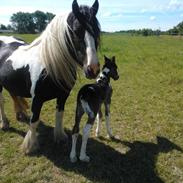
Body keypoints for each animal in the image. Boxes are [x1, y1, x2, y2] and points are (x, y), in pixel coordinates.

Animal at [0, 0, 100, 154]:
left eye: (97, 30)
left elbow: (59, 115)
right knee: (2, 101)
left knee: (14, 95)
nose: (93, 69)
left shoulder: (63, 95)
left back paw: (20, 114)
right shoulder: (37, 99)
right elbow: (34, 121)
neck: (49, 66)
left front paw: (60, 137)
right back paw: (5, 123)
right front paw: (30, 146)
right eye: (76, 30)